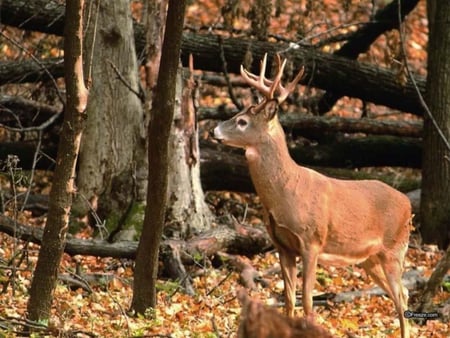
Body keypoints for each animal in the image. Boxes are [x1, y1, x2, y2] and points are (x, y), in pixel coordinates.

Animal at [213, 53, 414, 338]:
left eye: (242, 122)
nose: (214, 131)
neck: (286, 192)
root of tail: (408, 203)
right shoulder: (282, 245)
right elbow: (289, 300)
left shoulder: (312, 241)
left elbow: (307, 301)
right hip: (370, 258)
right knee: (403, 293)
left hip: (395, 248)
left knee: (401, 296)